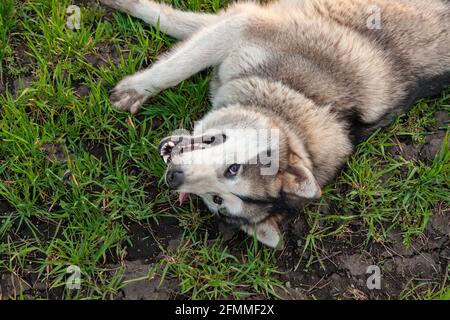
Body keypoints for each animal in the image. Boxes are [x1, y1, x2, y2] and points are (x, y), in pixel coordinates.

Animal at [99, 0, 450, 248]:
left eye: (216, 201)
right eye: (234, 169)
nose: (174, 177)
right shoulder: (247, 25)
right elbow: (177, 49)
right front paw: (137, 88)